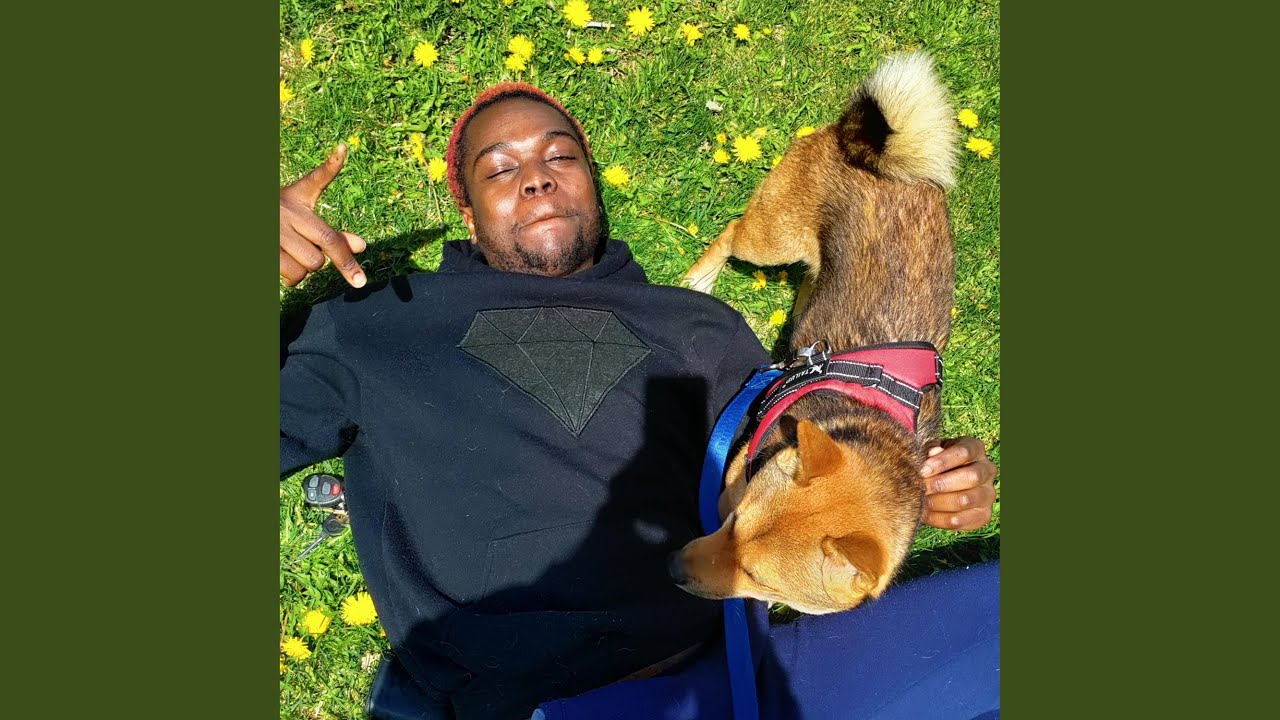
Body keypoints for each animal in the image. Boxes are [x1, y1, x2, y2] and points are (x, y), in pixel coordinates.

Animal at [670, 52, 958, 615]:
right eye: (733, 521)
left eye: (758, 576)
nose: (672, 566)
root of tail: (864, 147)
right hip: (770, 239)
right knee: (733, 231)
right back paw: (701, 278)